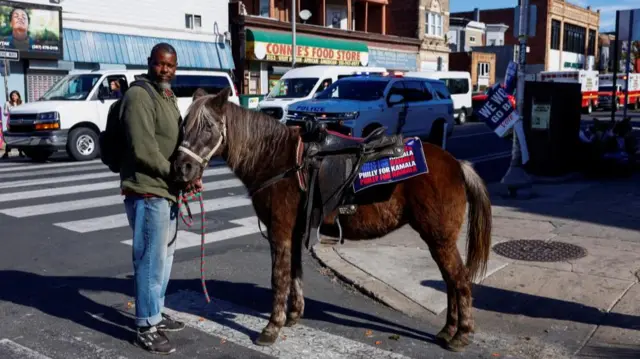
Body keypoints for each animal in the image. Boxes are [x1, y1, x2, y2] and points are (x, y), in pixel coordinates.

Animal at [171, 88, 496, 352]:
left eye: (208, 127)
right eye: (183, 125)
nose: (182, 167)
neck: (277, 160)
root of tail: (457, 164)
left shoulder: (280, 230)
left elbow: (279, 277)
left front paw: (272, 327)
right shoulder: (295, 231)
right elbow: (295, 273)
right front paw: (293, 315)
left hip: (438, 237)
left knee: (459, 281)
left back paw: (461, 334)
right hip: (439, 238)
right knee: (451, 281)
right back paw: (447, 330)